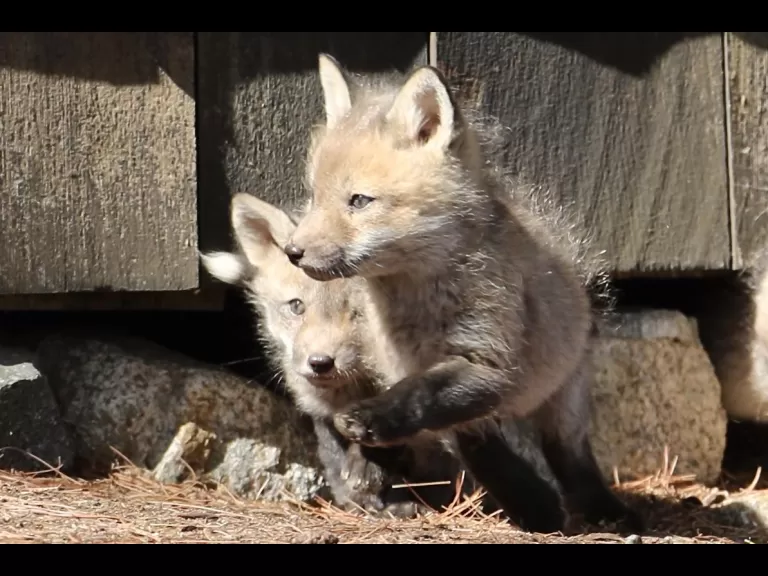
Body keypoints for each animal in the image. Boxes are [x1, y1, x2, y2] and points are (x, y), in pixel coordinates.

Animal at [201, 193, 464, 517]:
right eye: (297, 306)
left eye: (360, 313)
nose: (320, 363)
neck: (360, 388)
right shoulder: (320, 411)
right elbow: (336, 464)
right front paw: (358, 502)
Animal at [282, 54, 644, 534]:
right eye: (314, 196)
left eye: (359, 201)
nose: (292, 252)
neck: (417, 304)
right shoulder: (401, 367)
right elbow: (423, 411)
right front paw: (368, 459)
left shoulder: (490, 363)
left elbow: (421, 395)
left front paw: (368, 423)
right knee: (478, 441)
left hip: (562, 402)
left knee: (567, 456)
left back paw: (594, 508)